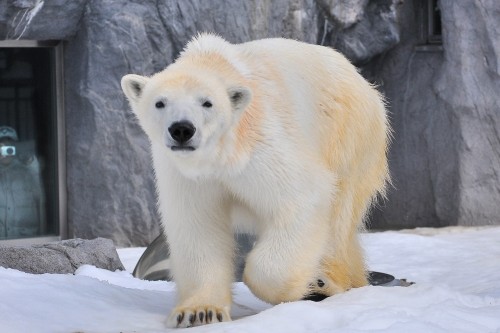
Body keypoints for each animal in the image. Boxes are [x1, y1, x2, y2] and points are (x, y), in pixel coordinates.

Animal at [121, 33, 390, 326]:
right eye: (160, 102)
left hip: (347, 136)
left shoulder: (259, 142)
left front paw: (304, 285)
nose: (182, 129)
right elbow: (198, 226)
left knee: (338, 220)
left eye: (207, 102)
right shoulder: (185, 175)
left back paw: (326, 282)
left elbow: (302, 197)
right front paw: (199, 311)